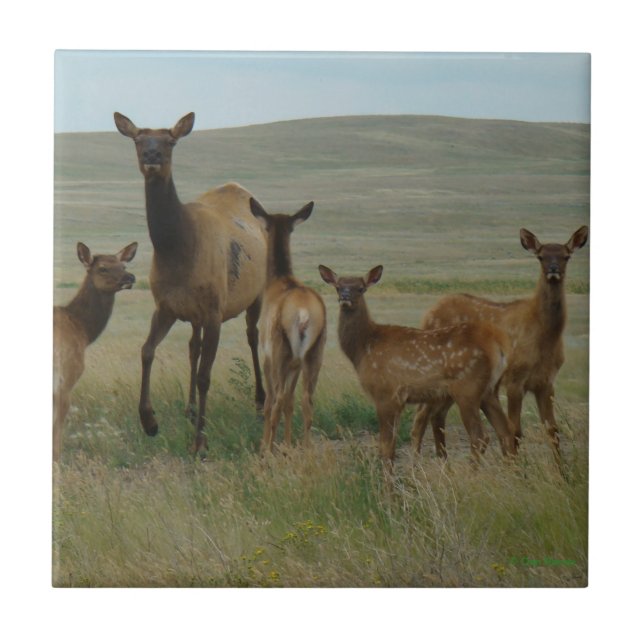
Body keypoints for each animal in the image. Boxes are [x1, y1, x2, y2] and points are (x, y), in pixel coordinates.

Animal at [114, 112, 267, 456]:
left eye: (170, 141)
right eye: (138, 139)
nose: (152, 155)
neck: (177, 250)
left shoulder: (214, 311)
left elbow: (205, 377)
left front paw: (200, 442)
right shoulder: (165, 306)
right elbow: (146, 351)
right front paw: (149, 421)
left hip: (257, 292)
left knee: (253, 336)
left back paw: (260, 403)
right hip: (195, 315)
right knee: (192, 346)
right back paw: (190, 408)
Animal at [249, 198, 326, 453]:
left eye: (265, 226)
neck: (277, 281)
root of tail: (303, 315)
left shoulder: (267, 355)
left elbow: (271, 401)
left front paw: (268, 444)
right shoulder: (296, 363)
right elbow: (291, 403)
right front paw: (288, 443)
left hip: (279, 349)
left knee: (277, 399)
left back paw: (267, 450)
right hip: (314, 352)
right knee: (307, 400)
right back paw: (306, 448)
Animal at [318, 264, 516, 470]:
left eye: (360, 288)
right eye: (338, 287)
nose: (345, 297)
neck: (363, 348)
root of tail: (498, 343)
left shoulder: (386, 393)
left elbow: (386, 447)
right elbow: (391, 446)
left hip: (467, 387)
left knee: (480, 436)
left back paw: (472, 472)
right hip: (489, 390)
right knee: (506, 431)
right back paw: (513, 471)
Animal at [416, 225, 589, 462]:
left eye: (566, 256)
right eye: (541, 256)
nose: (553, 269)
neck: (543, 337)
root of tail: (427, 315)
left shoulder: (547, 381)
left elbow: (552, 429)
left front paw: (561, 469)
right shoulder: (515, 378)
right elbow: (515, 430)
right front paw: (518, 468)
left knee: (436, 415)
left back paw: (443, 462)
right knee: (421, 415)